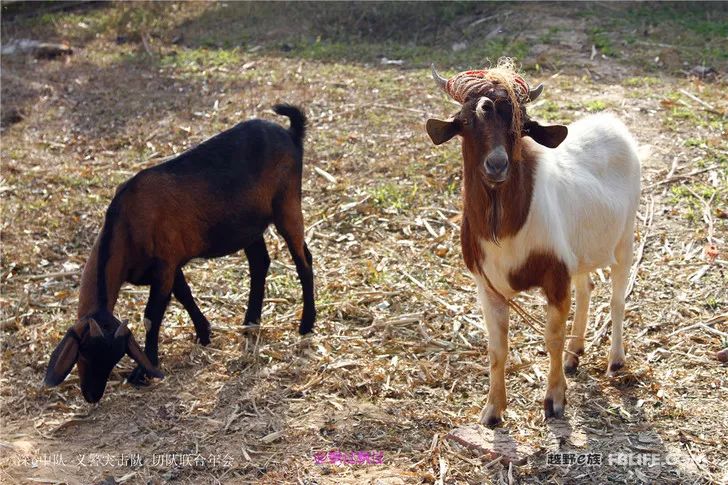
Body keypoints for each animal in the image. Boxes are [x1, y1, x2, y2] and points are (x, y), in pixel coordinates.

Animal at [44, 103, 314, 400]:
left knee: (303, 260)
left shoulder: (164, 265)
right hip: (248, 225)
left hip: (287, 205)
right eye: (83, 354)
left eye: (113, 357)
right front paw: (204, 333)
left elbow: (152, 316)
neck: (128, 220)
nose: (92, 396)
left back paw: (306, 324)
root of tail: (291, 134)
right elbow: (184, 294)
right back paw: (251, 322)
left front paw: (144, 370)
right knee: (259, 263)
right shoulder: (170, 264)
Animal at [426, 65, 644, 424]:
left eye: (521, 126)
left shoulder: (555, 277)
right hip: (580, 252)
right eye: (466, 121)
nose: (497, 164)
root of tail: (613, 123)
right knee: (587, 288)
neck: (506, 228)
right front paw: (492, 410)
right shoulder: (488, 286)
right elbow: (497, 348)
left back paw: (615, 361)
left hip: (625, 238)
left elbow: (552, 338)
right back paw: (575, 355)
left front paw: (554, 400)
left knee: (617, 298)